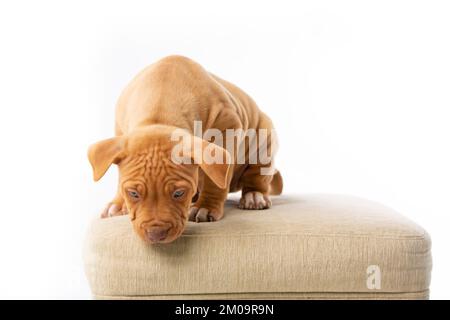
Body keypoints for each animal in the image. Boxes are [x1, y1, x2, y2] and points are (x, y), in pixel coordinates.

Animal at [89, 56, 282, 244]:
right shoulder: (120, 133)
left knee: (257, 175)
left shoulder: (228, 127)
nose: (156, 234)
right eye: (133, 194)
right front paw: (118, 203)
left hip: (265, 138)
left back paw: (254, 196)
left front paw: (206, 206)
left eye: (179, 193)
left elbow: (215, 180)